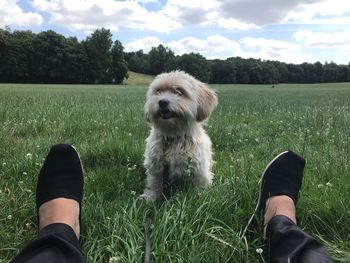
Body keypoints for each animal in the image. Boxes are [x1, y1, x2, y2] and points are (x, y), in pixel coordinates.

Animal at [140, 70, 217, 202]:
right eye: (158, 91)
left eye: (179, 92)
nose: (162, 102)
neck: (173, 135)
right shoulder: (155, 164)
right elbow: (154, 183)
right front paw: (151, 199)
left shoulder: (198, 167)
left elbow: (199, 184)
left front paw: (199, 198)